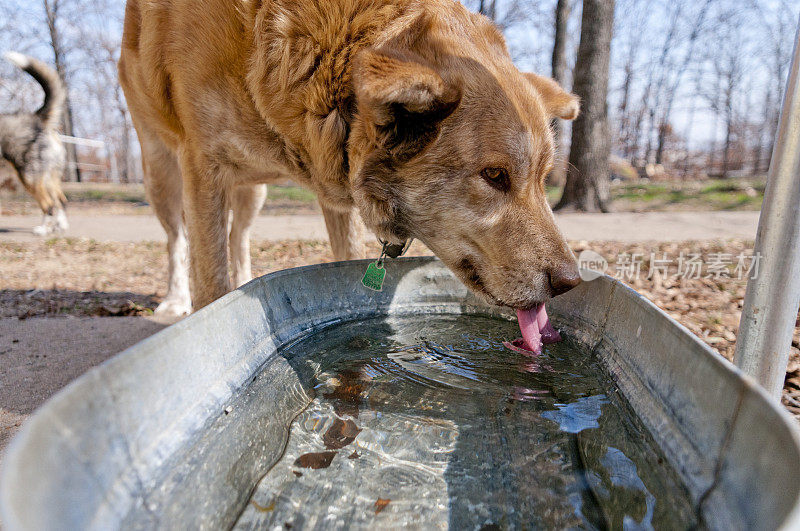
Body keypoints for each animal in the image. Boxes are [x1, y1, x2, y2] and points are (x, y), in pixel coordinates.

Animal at [0, 52, 68, 235]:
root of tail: (36, 118)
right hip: (48, 177)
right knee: (60, 201)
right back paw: (59, 226)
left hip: (29, 177)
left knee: (49, 204)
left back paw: (43, 230)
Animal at [119, 0, 580, 316]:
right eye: (495, 175)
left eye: (543, 180)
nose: (571, 282)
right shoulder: (204, 169)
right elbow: (209, 279)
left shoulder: (329, 182)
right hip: (161, 173)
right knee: (178, 238)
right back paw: (175, 299)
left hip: (253, 193)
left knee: (240, 235)